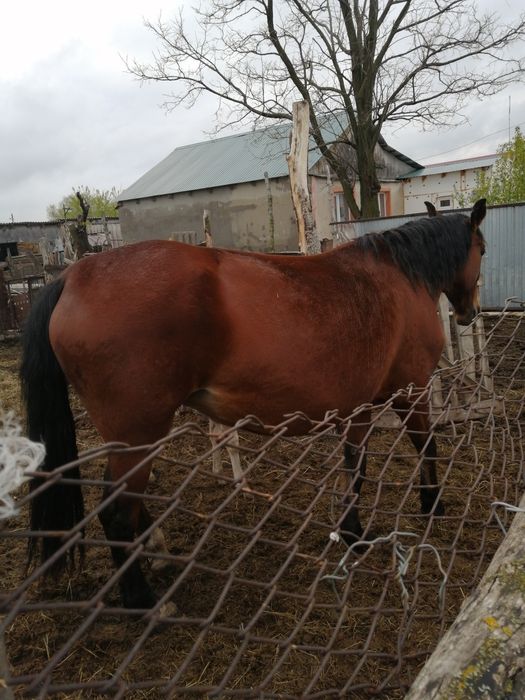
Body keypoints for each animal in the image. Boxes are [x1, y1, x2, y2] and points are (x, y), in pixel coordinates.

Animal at [20, 199, 486, 609]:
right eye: (481, 249)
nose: (470, 313)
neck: (400, 278)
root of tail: (74, 277)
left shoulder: (359, 406)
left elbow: (356, 465)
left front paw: (353, 533)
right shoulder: (411, 389)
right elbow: (425, 445)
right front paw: (432, 505)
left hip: (130, 439)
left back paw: (155, 551)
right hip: (139, 435)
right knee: (117, 513)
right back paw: (142, 599)